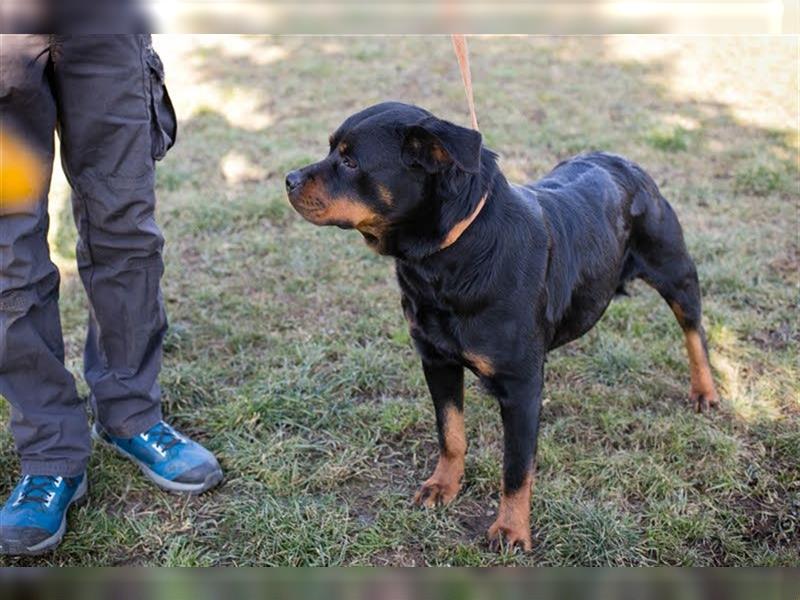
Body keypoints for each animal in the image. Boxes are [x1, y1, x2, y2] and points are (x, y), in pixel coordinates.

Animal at [286, 101, 720, 552]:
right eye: (332, 150)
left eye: (350, 161)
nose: (289, 179)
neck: (450, 256)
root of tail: (623, 160)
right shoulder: (436, 359)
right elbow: (450, 432)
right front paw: (444, 485)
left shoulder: (521, 387)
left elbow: (516, 466)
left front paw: (511, 529)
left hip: (674, 270)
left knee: (694, 330)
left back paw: (705, 390)